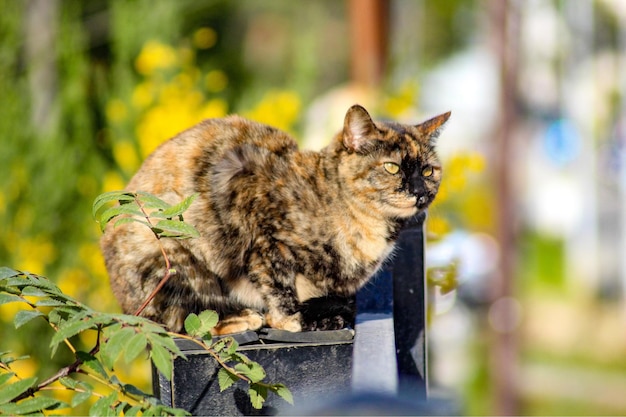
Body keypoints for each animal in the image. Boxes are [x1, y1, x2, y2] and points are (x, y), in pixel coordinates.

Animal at [98, 105, 448, 334]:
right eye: (391, 167)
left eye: (428, 170)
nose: (419, 192)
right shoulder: (264, 235)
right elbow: (280, 295)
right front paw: (297, 320)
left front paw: (332, 311)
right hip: (172, 255)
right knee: (181, 322)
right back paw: (245, 317)